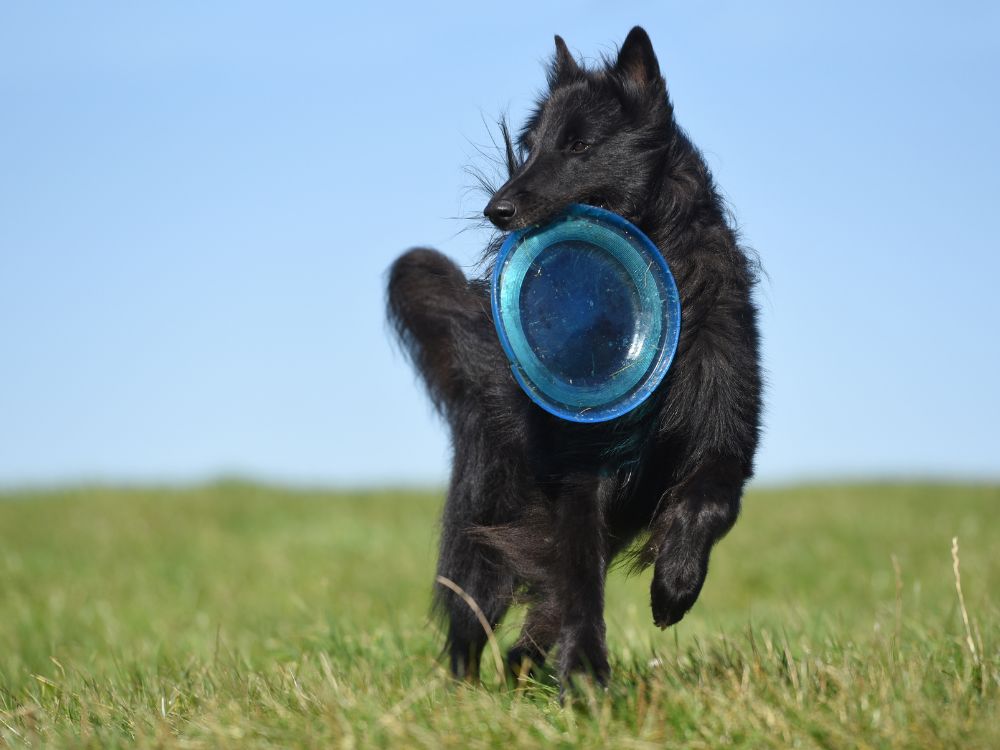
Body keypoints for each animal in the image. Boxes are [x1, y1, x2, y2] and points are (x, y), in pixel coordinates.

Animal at [386, 26, 760, 692]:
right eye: (530, 147)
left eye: (580, 145)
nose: (496, 211)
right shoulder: (582, 476)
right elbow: (580, 577)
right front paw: (587, 674)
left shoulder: (727, 437)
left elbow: (709, 502)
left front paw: (675, 585)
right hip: (486, 523)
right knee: (472, 618)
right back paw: (465, 693)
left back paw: (524, 666)